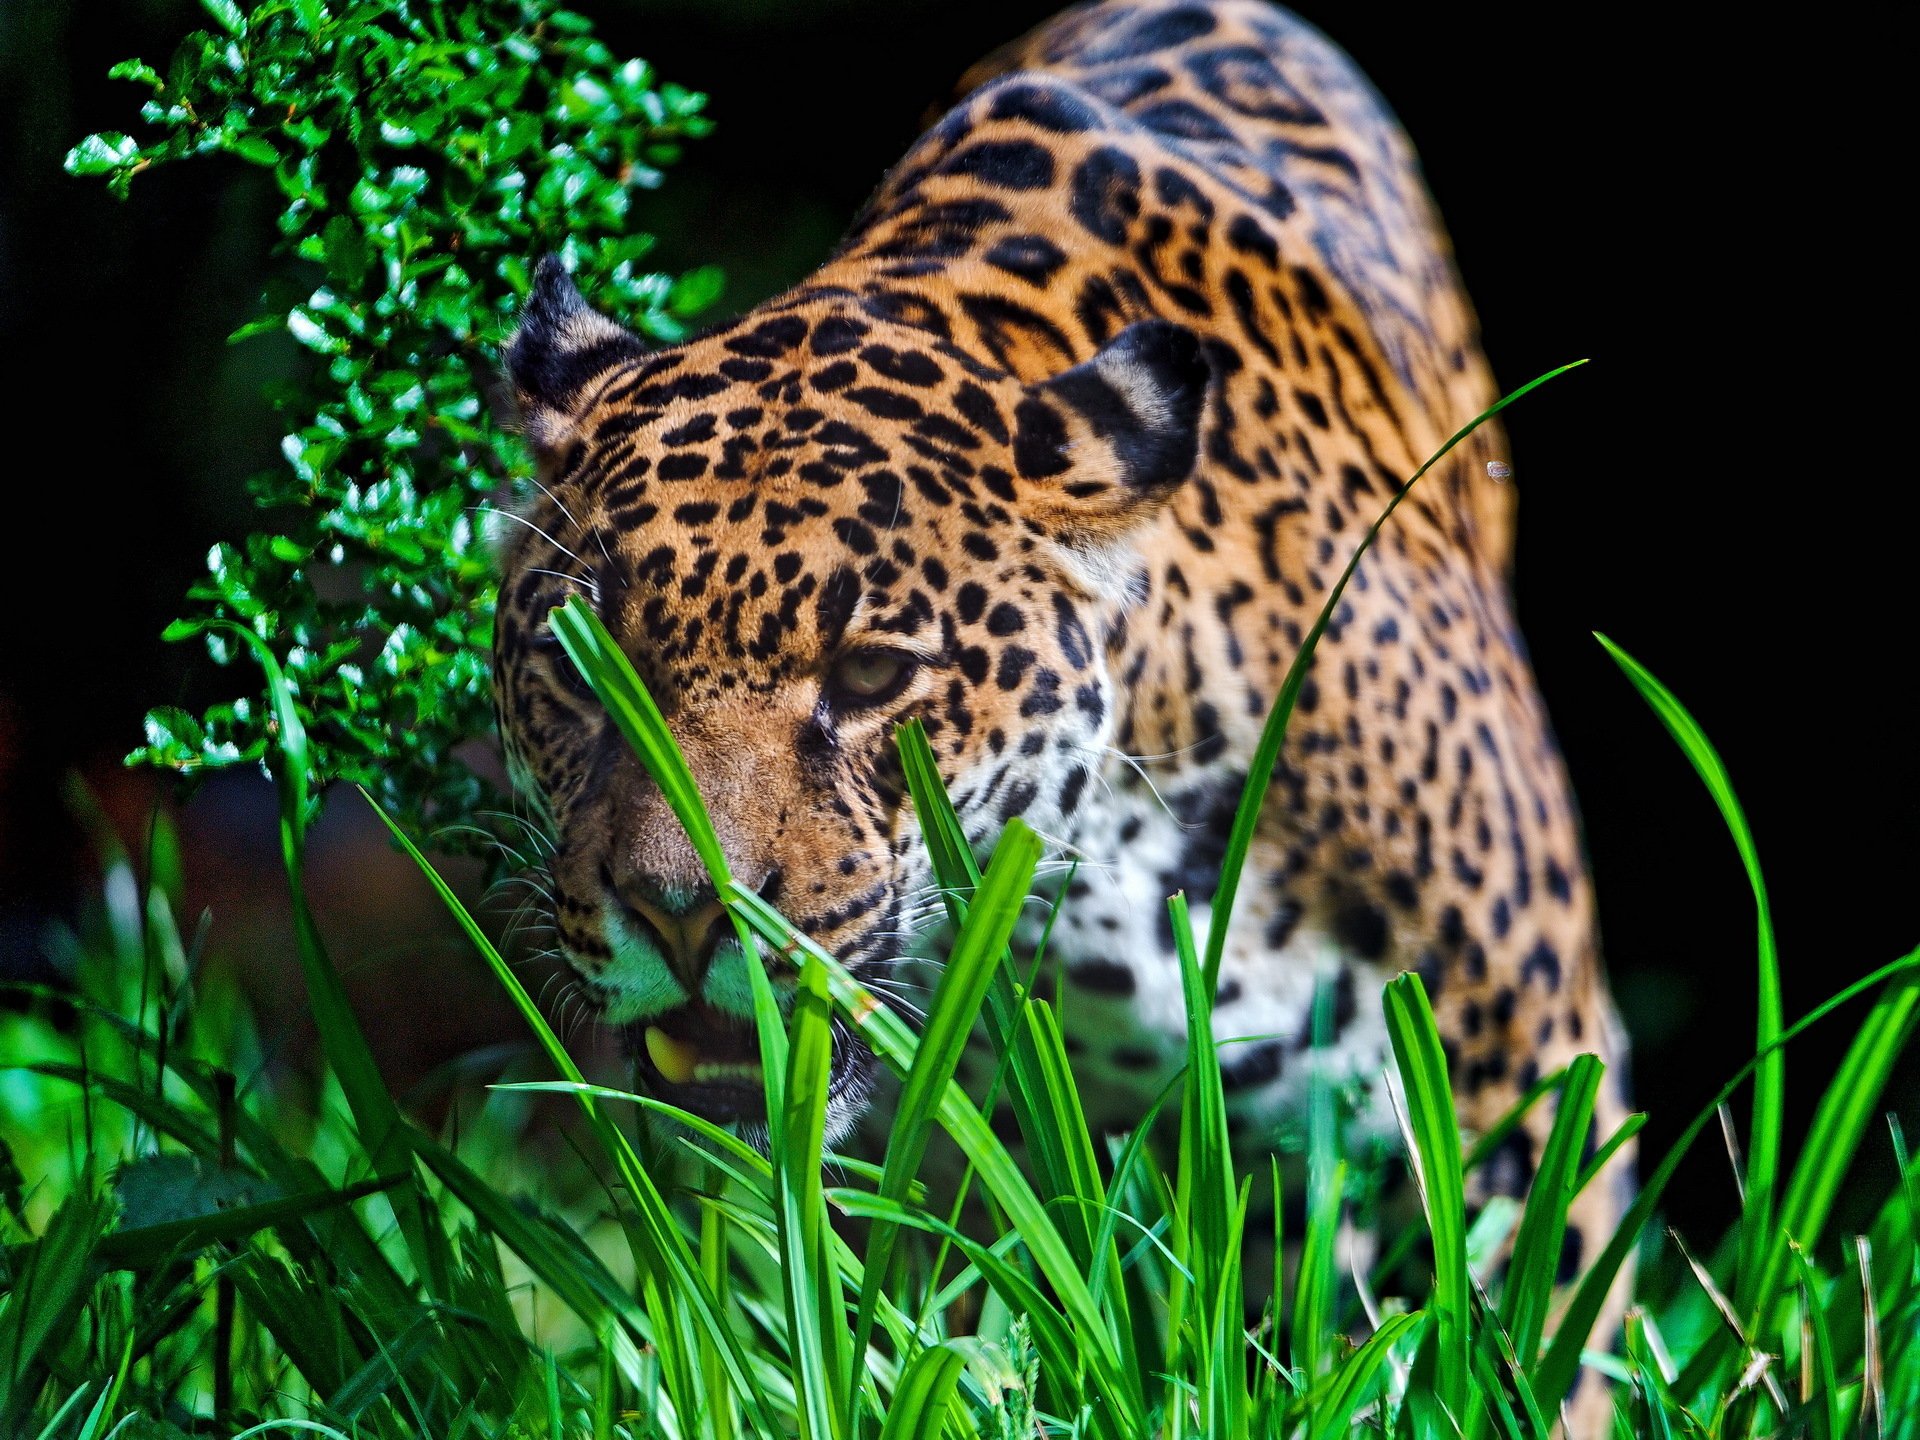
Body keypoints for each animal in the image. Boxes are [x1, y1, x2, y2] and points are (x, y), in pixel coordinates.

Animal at [489, 0, 1633, 1419]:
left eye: (872, 677)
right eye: (582, 660)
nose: (682, 914)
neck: (1091, 878)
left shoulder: (1523, 1082)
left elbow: (1546, 1352)